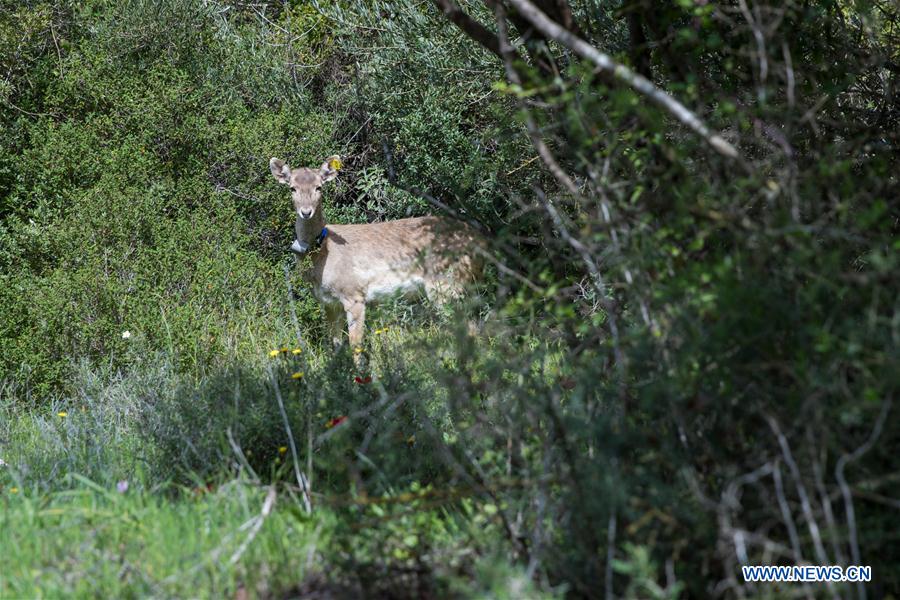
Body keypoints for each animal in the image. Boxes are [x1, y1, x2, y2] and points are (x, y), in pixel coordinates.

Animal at [269, 155, 482, 364]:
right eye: (292, 187)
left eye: (319, 187)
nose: (306, 212)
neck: (322, 257)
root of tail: (479, 240)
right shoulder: (328, 303)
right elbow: (335, 345)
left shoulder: (354, 294)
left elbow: (355, 346)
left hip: (446, 283)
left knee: (469, 328)